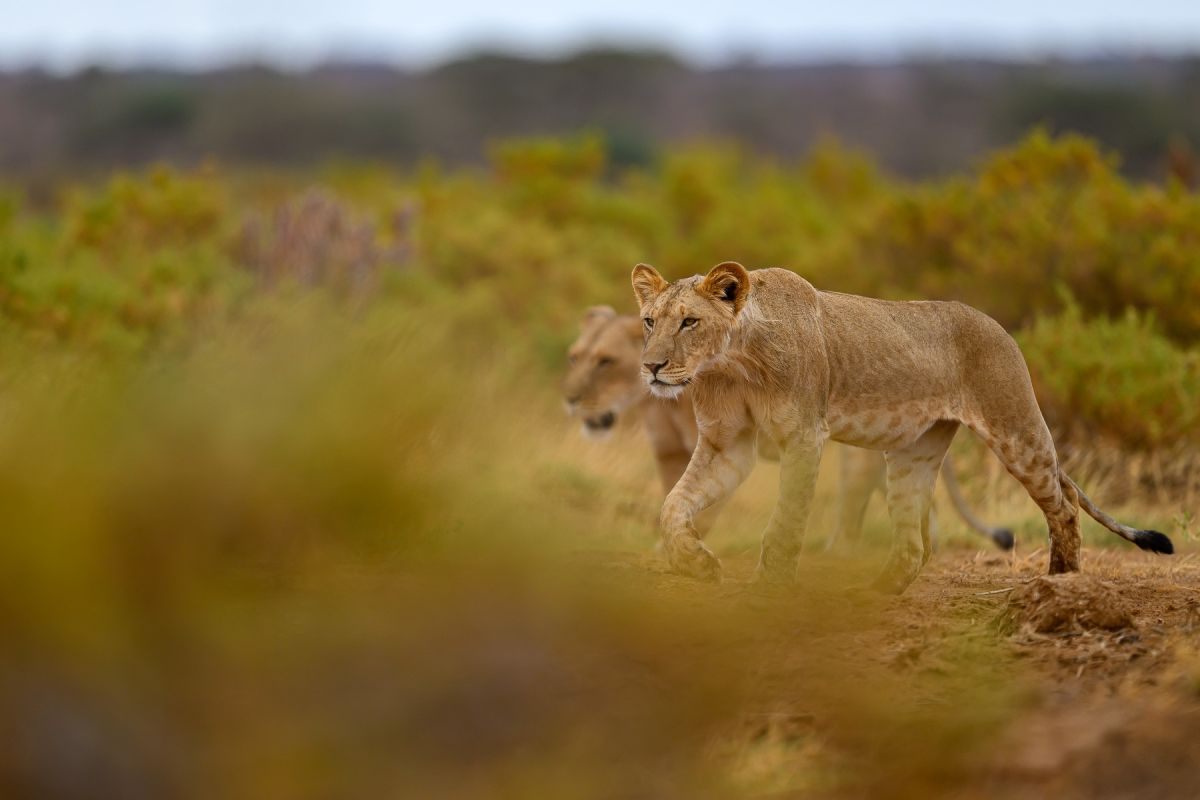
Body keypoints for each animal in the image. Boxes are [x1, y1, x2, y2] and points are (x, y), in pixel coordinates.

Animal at [563, 304, 1014, 550]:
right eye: (576, 356)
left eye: (605, 362)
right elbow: (672, 501)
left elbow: (702, 514)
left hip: (857, 452)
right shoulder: (670, 454)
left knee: (855, 512)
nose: (569, 399)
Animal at [630, 261, 1173, 592]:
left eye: (689, 322)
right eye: (649, 321)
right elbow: (672, 505)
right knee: (915, 546)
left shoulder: (805, 436)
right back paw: (870, 595)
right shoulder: (728, 444)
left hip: (1017, 429)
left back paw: (1061, 581)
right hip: (914, 452)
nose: (651, 367)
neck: (732, 362)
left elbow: (785, 523)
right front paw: (696, 563)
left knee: (1064, 504)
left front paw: (770, 587)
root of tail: (999, 326)